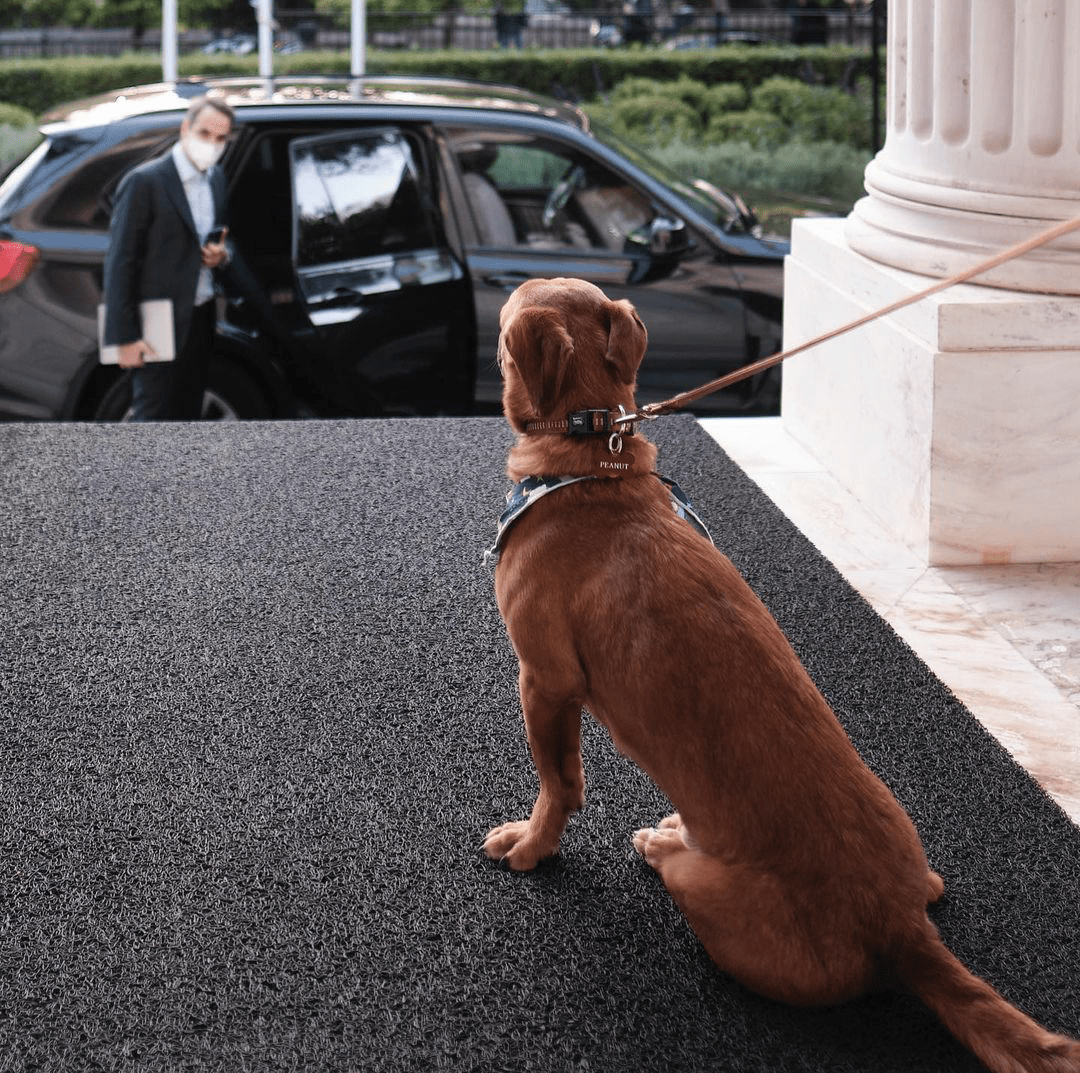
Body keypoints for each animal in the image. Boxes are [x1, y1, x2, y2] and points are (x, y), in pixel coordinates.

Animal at [488, 276, 1080, 1070]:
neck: (588, 456)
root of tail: (898, 926)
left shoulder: (544, 679)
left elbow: (558, 785)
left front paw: (531, 844)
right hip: (910, 849)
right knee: (934, 883)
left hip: (707, 889)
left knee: (678, 868)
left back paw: (663, 842)